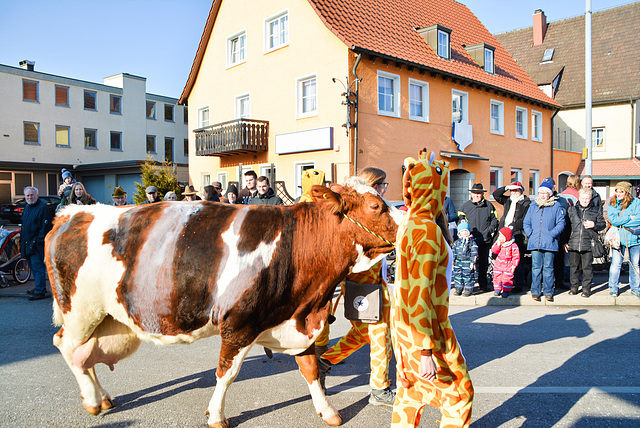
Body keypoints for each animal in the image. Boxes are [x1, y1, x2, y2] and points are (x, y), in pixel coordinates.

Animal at [46, 181, 400, 428]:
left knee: (85, 353)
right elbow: (226, 373)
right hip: (81, 311)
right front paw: (216, 415)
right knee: (67, 345)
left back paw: (103, 398)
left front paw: (328, 411)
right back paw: (92, 401)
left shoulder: (295, 319)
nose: (406, 221)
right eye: (375, 206)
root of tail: (71, 214)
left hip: (109, 318)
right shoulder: (239, 324)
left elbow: (310, 368)